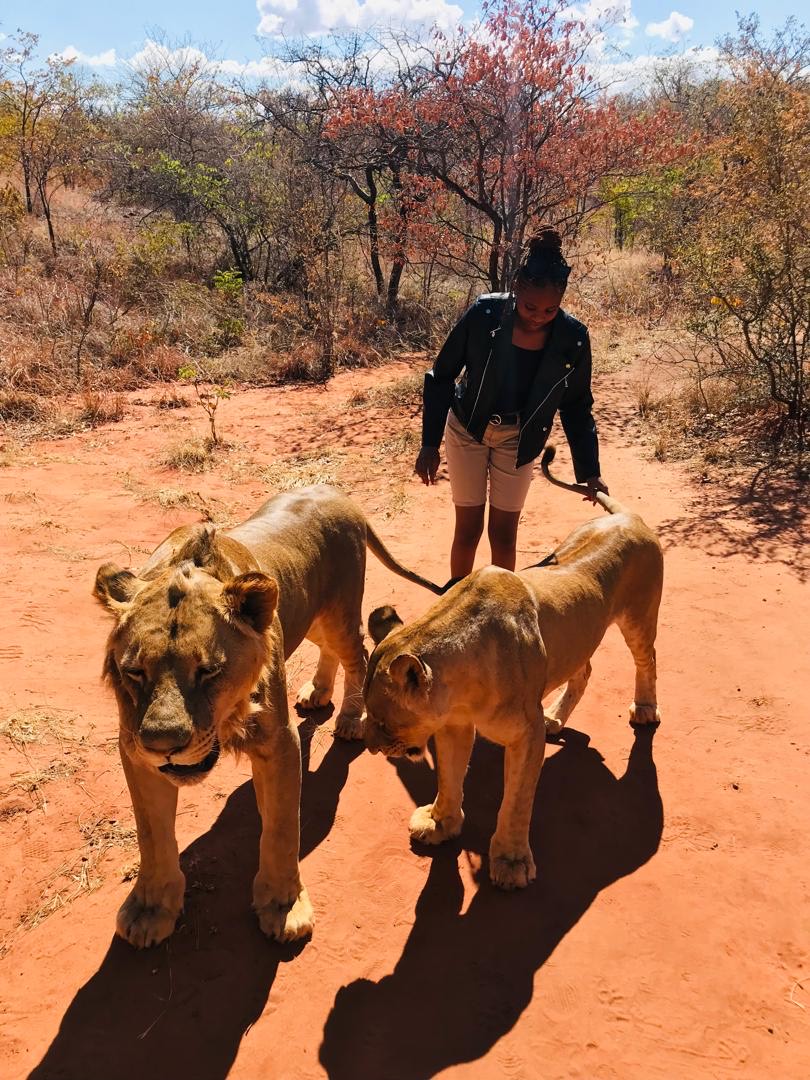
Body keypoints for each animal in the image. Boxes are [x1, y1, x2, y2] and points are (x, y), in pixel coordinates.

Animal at [94, 484, 441, 948]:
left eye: (209, 671)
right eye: (134, 671)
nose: (163, 744)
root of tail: (333, 490)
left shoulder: (279, 743)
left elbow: (281, 829)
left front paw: (284, 906)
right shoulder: (134, 749)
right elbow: (151, 834)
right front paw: (150, 909)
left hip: (339, 615)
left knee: (360, 654)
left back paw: (352, 719)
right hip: (306, 617)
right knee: (330, 651)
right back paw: (317, 693)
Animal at [363, 448, 663, 891]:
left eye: (384, 723)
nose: (371, 747)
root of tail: (625, 516)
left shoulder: (526, 732)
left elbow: (516, 800)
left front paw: (511, 861)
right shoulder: (453, 726)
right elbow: (449, 778)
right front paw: (439, 823)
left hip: (640, 619)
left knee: (648, 661)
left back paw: (644, 710)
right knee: (584, 669)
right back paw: (557, 716)